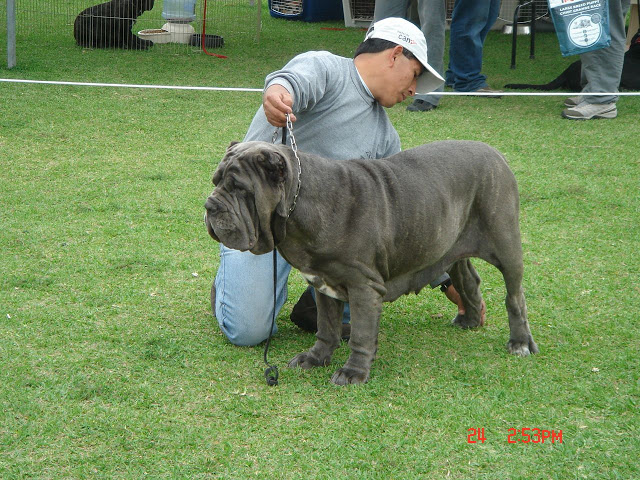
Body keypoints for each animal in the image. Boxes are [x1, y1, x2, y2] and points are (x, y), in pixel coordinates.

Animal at [204, 140, 536, 386]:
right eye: (216, 181)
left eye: (240, 188)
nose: (210, 205)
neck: (302, 203)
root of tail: (496, 153)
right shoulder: (322, 283)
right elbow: (326, 328)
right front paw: (314, 358)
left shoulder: (363, 286)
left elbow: (361, 335)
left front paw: (353, 373)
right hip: (452, 245)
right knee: (469, 279)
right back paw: (469, 319)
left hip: (506, 242)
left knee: (515, 296)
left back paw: (520, 343)